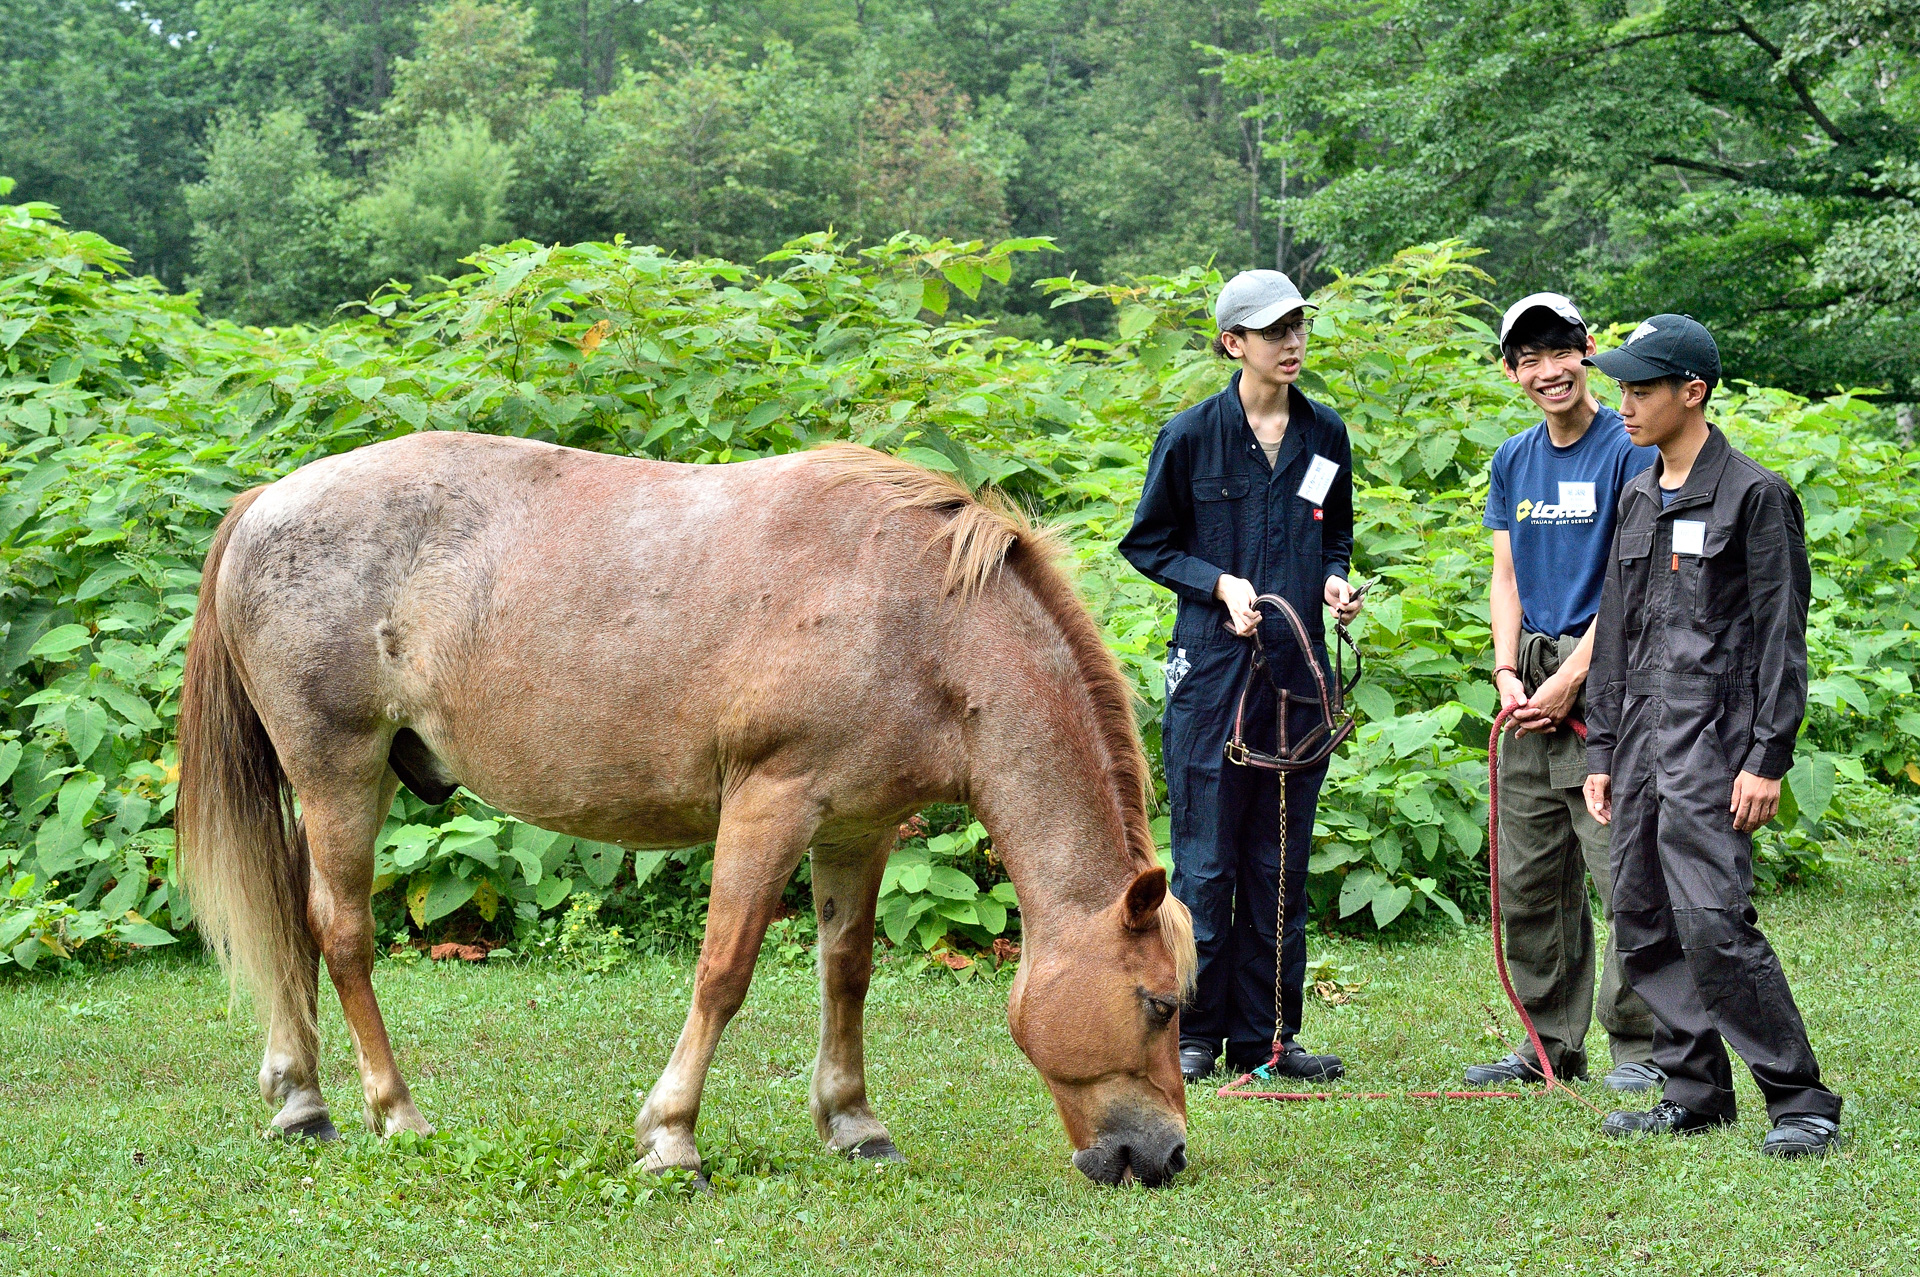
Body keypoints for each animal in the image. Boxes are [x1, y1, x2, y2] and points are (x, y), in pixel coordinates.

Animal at [177, 431, 1197, 1186]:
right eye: (1157, 1003)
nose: (1165, 1154)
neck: (920, 620)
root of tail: (266, 499)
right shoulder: (770, 807)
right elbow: (724, 973)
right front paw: (672, 1137)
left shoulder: (858, 828)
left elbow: (847, 971)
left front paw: (854, 1122)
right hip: (341, 774)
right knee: (340, 930)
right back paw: (396, 1113)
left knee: (291, 926)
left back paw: (301, 1100)